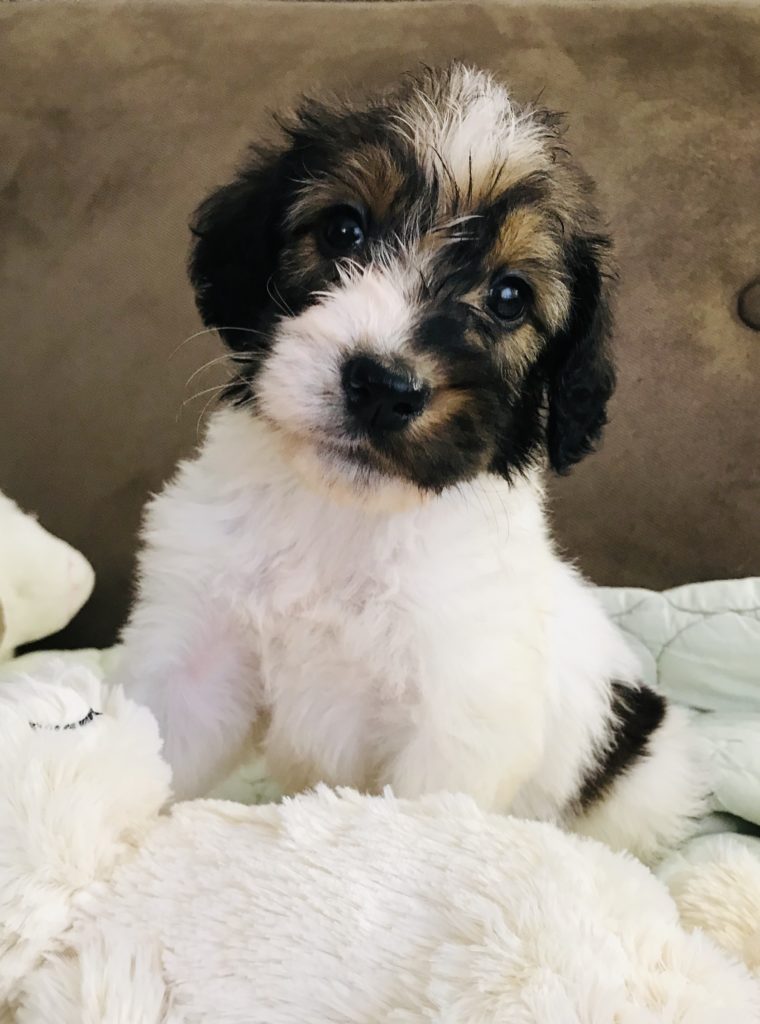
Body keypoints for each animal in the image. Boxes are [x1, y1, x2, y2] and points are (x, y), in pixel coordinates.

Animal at [117, 64, 708, 864]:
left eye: (510, 296)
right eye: (343, 229)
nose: (383, 387)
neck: (345, 517)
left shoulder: (454, 725)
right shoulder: (197, 656)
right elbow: (149, 753)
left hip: (640, 785)